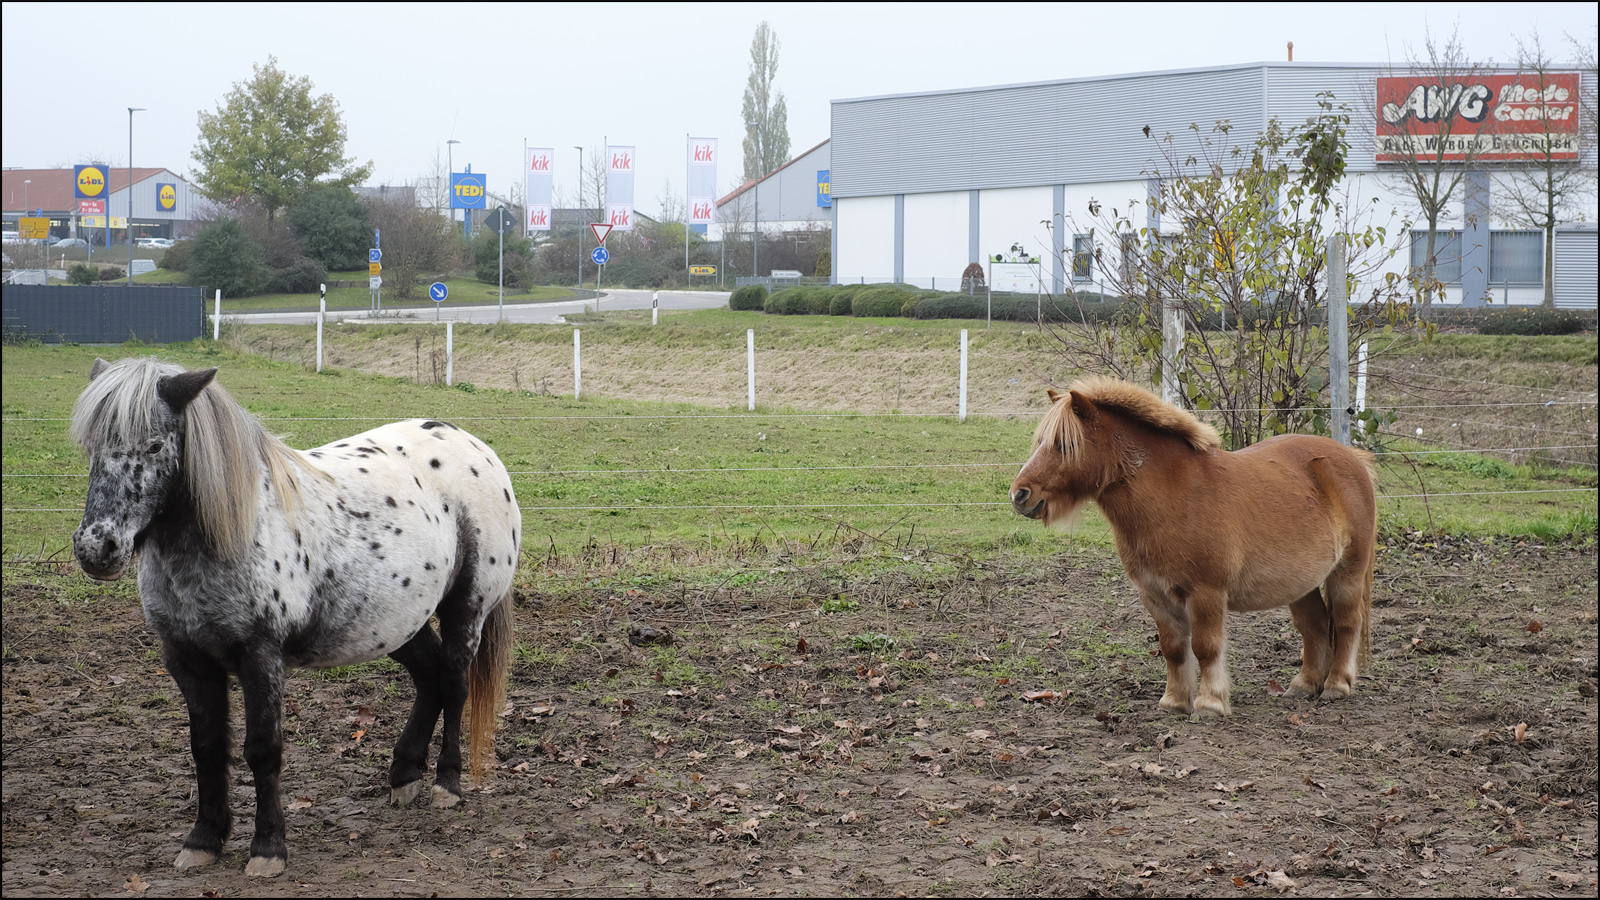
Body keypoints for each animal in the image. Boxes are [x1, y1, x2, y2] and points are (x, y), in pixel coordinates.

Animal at [70, 353, 518, 871]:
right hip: (394, 622)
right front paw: (203, 839)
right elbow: (207, 747)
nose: (96, 548)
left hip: (467, 608)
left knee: (454, 683)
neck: (231, 530)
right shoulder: (187, 660)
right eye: (91, 446)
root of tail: (476, 447)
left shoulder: (261, 657)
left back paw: (447, 784)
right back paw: (404, 776)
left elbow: (262, 750)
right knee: (429, 678)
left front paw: (268, 847)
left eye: (156, 444)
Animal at [1011, 376, 1376, 714]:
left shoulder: (1206, 593)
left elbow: (1205, 647)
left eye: (1063, 445)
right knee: (1313, 625)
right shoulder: (1154, 594)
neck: (1174, 495)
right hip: (1302, 583)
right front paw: (1174, 701)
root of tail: (1354, 458)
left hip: (1347, 572)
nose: (1019, 494)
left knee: (1347, 622)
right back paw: (1304, 685)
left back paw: (1337, 685)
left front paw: (1210, 702)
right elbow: (1173, 648)